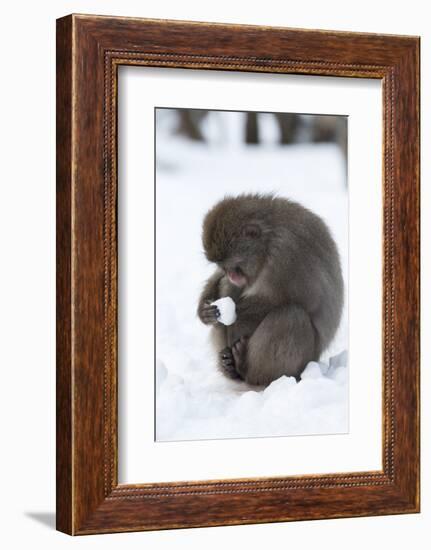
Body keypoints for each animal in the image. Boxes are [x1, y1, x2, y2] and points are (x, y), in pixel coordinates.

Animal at [198, 194, 344, 388]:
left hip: (305, 359)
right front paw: (204, 311)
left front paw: (235, 318)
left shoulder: (288, 252)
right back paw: (229, 367)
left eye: (235, 266)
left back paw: (245, 367)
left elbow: (308, 298)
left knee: (291, 316)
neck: (268, 243)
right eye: (223, 266)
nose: (231, 275)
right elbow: (220, 279)